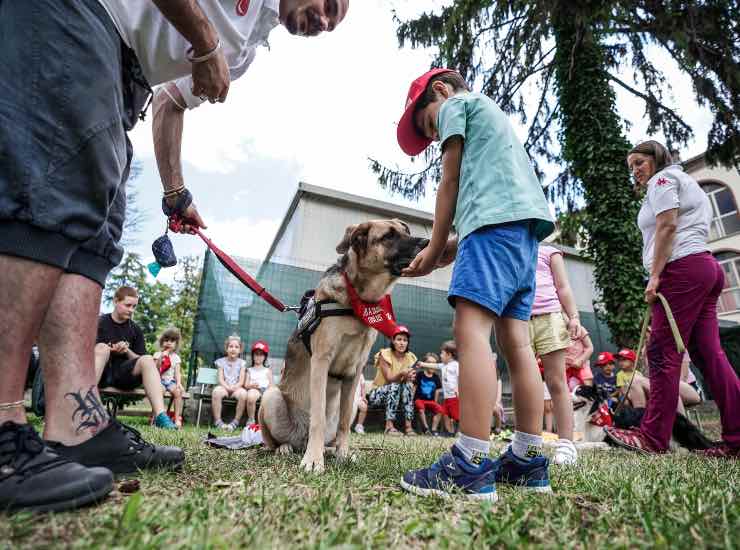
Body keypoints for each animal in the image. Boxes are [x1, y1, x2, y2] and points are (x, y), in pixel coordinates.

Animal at [258, 220, 428, 474]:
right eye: (388, 236)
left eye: (406, 231)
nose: (427, 243)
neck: (359, 299)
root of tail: (300, 439)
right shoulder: (321, 361)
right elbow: (317, 417)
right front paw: (313, 460)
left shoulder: (354, 372)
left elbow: (345, 422)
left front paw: (343, 454)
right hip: (270, 397)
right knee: (274, 441)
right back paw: (287, 448)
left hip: (355, 399)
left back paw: (328, 450)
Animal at [568, 386, 712, 450]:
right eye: (573, 390)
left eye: (579, 392)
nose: (567, 395)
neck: (595, 415)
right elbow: (579, 441)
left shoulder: (608, 440)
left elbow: (588, 444)